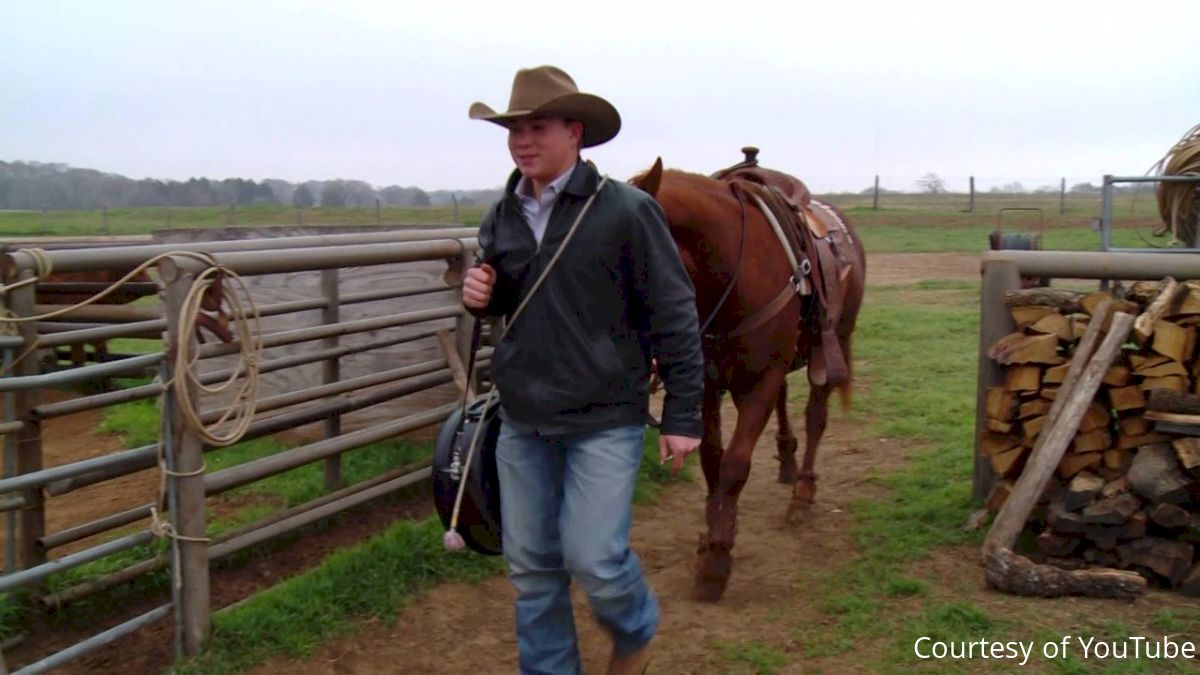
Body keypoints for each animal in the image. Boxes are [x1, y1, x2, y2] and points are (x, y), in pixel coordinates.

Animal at [628, 153, 864, 598]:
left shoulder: (760, 381)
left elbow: (735, 463)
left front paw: (717, 559)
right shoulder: (706, 382)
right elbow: (711, 457)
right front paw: (713, 531)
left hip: (835, 341)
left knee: (816, 415)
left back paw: (803, 492)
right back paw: (787, 461)